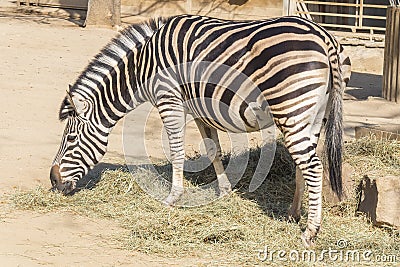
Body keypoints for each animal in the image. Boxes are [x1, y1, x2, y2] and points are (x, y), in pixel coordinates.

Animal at [49, 15, 350, 249]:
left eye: (71, 138)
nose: (53, 181)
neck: (144, 68)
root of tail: (324, 36)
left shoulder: (169, 99)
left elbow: (177, 151)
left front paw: (172, 197)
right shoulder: (198, 109)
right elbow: (213, 148)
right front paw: (225, 191)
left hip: (291, 106)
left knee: (312, 166)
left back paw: (310, 232)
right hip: (314, 114)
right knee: (306, 162)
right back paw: (293, 214)